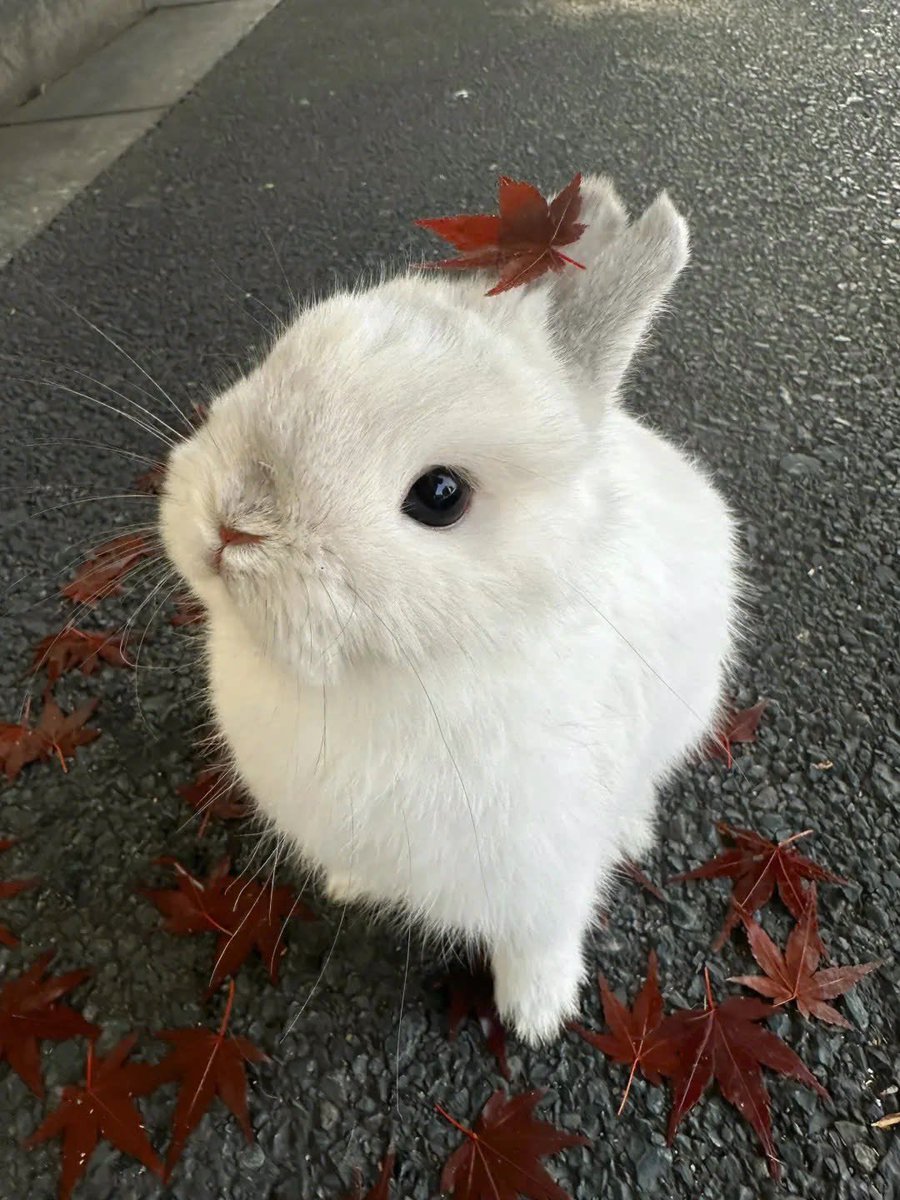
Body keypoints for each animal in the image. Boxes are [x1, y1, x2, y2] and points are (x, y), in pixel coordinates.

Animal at [159, 175, 739, 1045]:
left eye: (440, 495)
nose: (232, 523)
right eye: (282, 356)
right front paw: (349, 886)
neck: (387, 678)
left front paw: (536, 1016)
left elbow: (543, 939)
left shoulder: (546, 875)